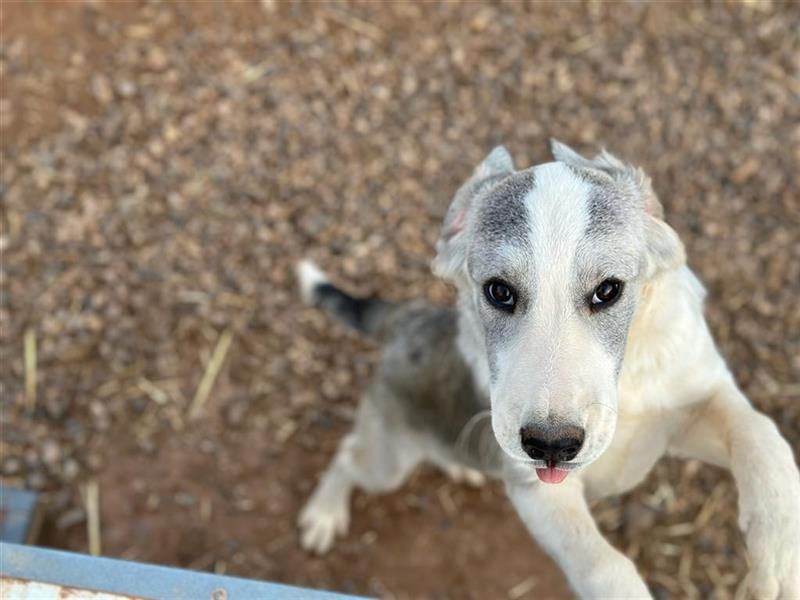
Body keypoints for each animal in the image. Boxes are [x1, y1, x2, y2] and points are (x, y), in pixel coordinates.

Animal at [294, 143, 800, 596]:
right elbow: (602, 565)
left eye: (608, 290)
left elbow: (760, 434)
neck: (626, 389)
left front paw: (779, 557)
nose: (551, 446)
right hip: (388, 458)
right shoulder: (539, 491)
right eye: (499, 292)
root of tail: (408, 318)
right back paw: (323, 514)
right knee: (348, 455)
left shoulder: (693, 402)